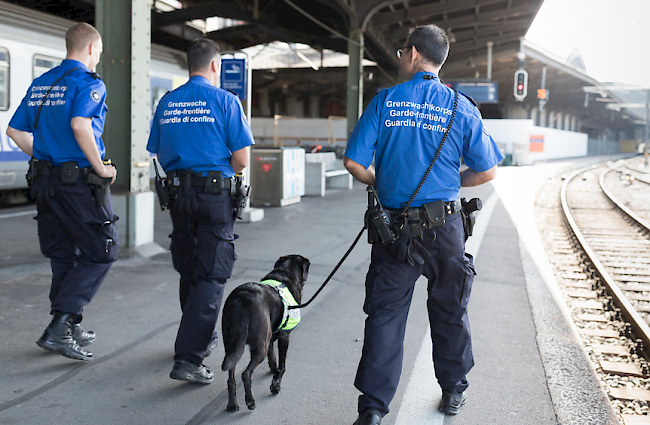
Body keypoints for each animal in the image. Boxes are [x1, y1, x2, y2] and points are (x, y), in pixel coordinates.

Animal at [220, 253, 308, 410]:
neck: (285, 273)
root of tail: (243, 298)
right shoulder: (285, 336)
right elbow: (282, 366)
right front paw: (276, 385)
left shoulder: (271, 336)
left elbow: (272, 357)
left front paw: (273, 369)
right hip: (260, 346)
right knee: (246, 374)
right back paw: (250, 401)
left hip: (232, 344)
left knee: (231, 376)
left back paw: (232, 405)